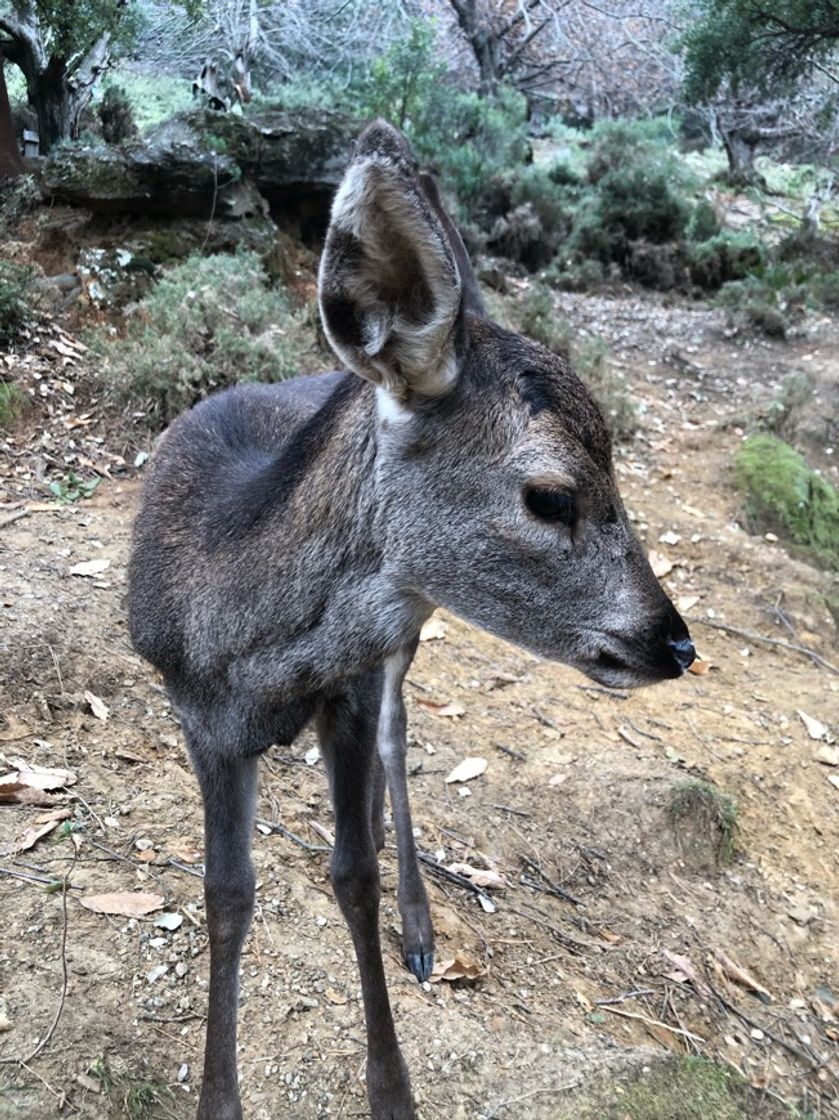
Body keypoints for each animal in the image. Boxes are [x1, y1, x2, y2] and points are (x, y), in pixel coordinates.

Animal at [129, 120, 694, 1120]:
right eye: (550, 496)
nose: (673, 640)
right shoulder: (196, 714)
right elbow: (226, 893)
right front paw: (217, 1096)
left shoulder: (349, 685)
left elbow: (350, 872)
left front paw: (392, 1089)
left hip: (405, 629)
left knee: (397, 736)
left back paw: (419, 920)